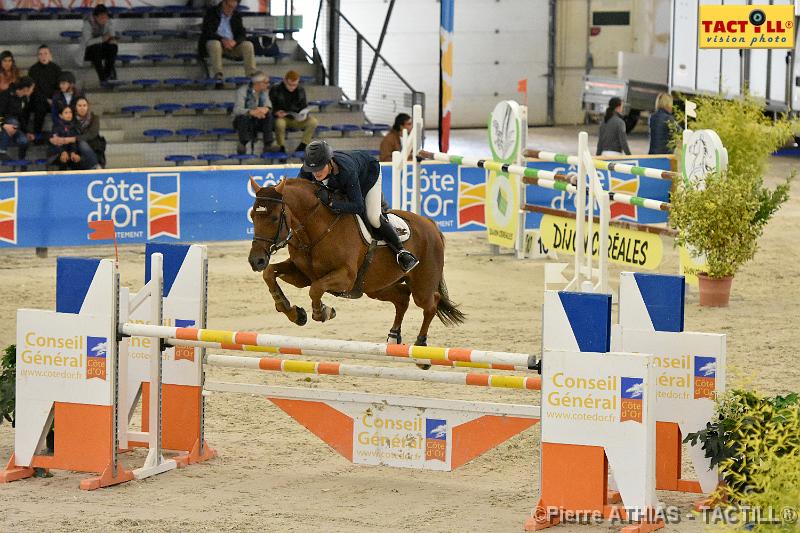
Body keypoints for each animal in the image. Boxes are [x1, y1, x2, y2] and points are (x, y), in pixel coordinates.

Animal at [247, 177, 466, 348]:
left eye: (275, 218)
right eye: (252, 216)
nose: (256, 260)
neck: (316, 229)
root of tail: (430, 224)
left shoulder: (345, 277)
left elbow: (316, 289)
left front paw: (323, 312)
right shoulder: (302, 275)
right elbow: (270, 273)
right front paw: (293, 312)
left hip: (421, 284)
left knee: (431, 303)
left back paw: (420, 345)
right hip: (377, 287)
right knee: (403, 298)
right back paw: (393, 337)